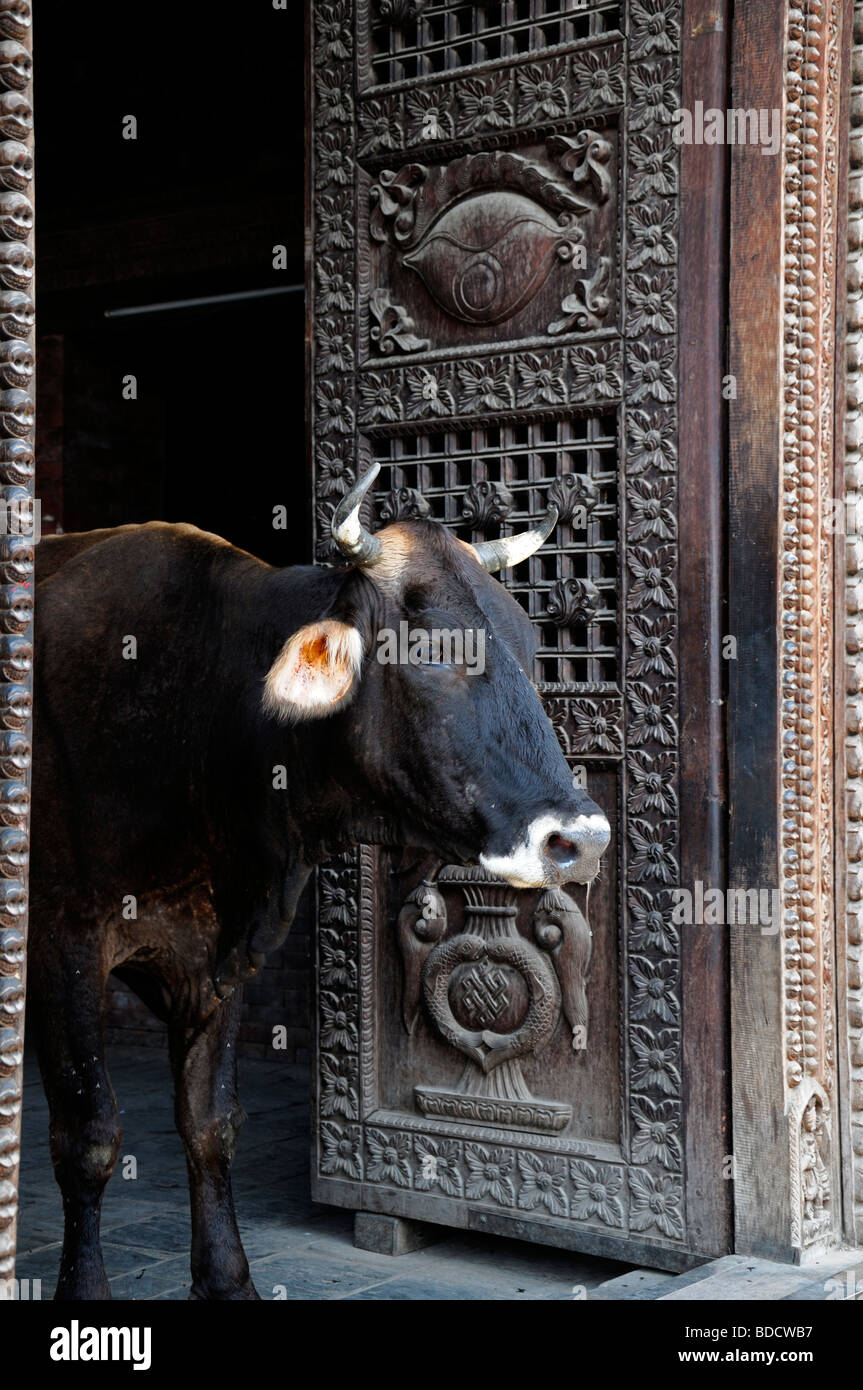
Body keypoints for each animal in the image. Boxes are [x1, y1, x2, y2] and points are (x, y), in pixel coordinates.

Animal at [26, 503, 605, 1301]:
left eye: (526, 643)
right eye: (432, 652)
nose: (580, 838)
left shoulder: (216, 957)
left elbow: (210, 1122)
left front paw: (227, 1279)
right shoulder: (64, 944)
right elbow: (88, 1137)